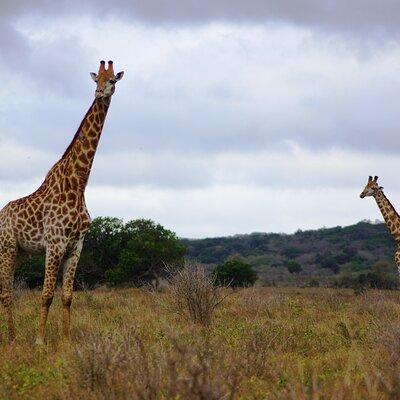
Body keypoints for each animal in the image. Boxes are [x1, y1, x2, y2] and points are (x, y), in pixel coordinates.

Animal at [0, 60, 123, 344]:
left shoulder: (76, 246)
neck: (78, 183)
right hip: (7, 248)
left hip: (20, 253)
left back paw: (11, 336)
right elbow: (46, 295)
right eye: (96, 80)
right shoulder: (55, 244)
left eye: (112, 80)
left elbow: (67, 297)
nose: (100, 93)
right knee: (6, 293)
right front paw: (40, 341)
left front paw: (66, 342)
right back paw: (10, 339)